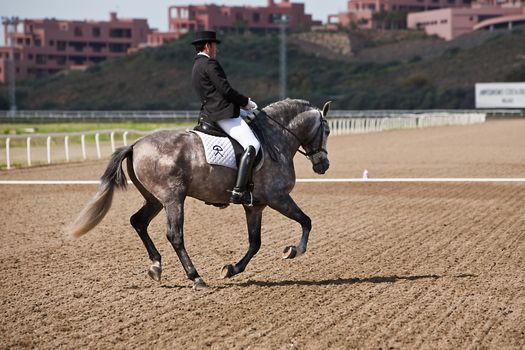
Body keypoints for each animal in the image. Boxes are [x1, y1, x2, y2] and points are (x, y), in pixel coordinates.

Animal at [68, 98, 332, 290]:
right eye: (327, 130)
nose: (323, 165)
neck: (275, 139)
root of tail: (135, 145)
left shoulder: (255, 205)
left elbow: (255, 243)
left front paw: (231, 269)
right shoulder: (278, 198)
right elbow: (306, 221)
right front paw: (294, 251)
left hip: (155, 200)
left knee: (138, 221)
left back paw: (156, 266)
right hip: (173, 198)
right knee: (175, 235)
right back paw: (196, 277)